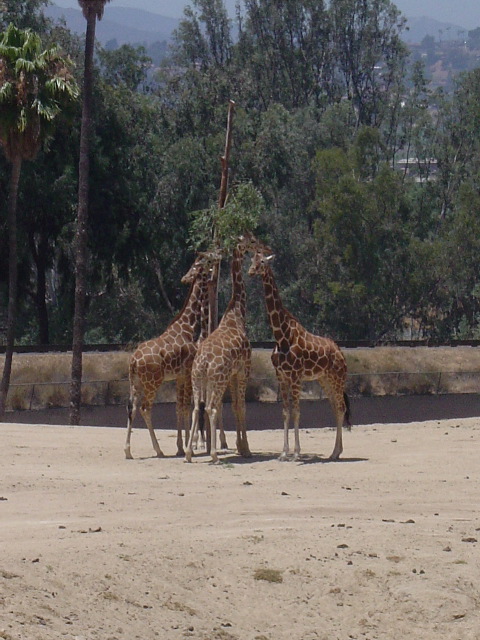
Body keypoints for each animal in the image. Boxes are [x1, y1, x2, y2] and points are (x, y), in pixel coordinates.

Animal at [124, 251, 220, 460]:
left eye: (194, 265)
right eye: (207, 260)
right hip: (153, 382)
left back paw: (127, 451)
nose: (184, 278)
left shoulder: (179, 376)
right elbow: (185, 407)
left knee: (132, 408)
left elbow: (179, 407)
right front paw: (185, 447)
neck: (188, 326)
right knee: (145, 408)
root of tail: (133, 361)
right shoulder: (187, 373)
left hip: (135, 382)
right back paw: (158, 450)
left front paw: (182, 446)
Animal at [186, 232, 256, 462]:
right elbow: (241, 407)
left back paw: (189, 453)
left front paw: (239, 446)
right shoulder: (243, 370)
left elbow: (234, 407)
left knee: (198, 408)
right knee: (211, 407)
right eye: (252, 241)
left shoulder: (233, 374)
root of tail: (204, 362)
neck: (236, 314)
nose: (264, 246)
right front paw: (245, 448)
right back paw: (214, 453)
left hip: (199, 379)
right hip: (217, 379)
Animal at [249, 248, 350, 462]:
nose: (251, 271)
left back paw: (335, 452)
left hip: (338, 378)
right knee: (335, 408)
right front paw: (283, 453)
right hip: (325, 380)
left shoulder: (296, 376)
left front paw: (296, 453)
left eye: (262, 262)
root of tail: (341, 353)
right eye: (251, 260)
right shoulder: (281, 376)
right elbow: (285, 412)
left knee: (341, 408)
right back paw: (335, 452)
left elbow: (296, 412)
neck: (282, 335)